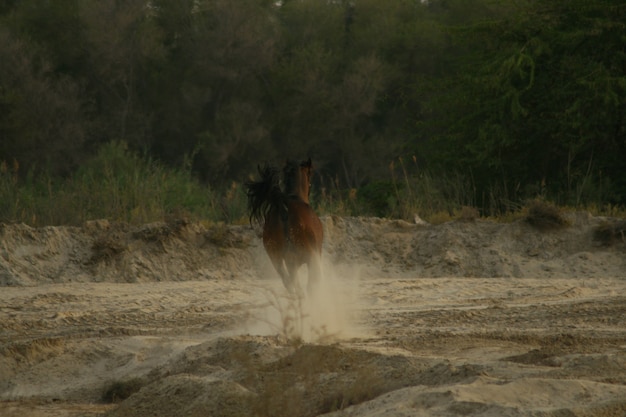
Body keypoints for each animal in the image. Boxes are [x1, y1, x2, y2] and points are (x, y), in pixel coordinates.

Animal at [244, 157, 322, 296]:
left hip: (278, 260)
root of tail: (284, 209)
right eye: (310, 174)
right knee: (306, 285)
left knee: (289, 283)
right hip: (306, 257)